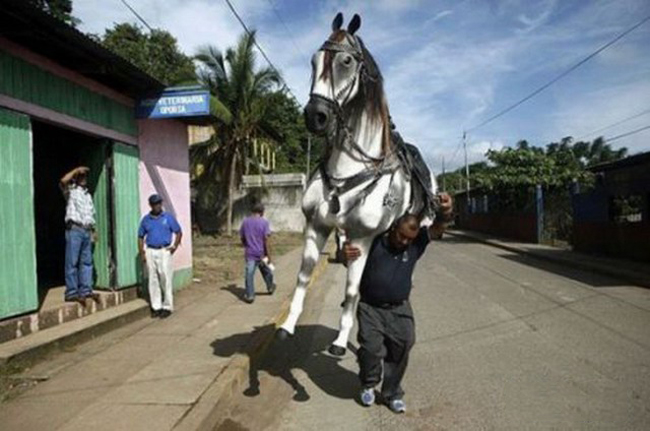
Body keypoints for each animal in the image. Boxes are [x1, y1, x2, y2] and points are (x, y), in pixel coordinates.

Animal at [274, 12, 436, 358]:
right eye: (313, 61)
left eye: (346, 61)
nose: (316, 116)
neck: (349, 169)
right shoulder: (317, 226)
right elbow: (303, 277)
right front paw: (287, 325)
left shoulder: (363, 237)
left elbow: (351, 288)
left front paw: (339, 340)